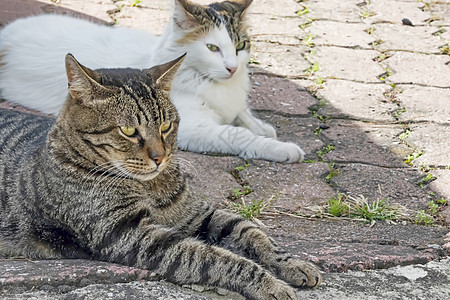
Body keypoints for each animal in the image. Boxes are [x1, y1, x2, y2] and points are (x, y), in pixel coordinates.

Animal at [0, 0, 306, 163]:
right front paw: (282, 148)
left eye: (240, 46)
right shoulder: (194, 127)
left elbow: (244, 113)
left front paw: (262, 127)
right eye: (212, 48)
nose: (232, 67)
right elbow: (238, 135)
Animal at [0, 54, 320, 300]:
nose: (159, 157)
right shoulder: (130, 235)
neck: (150, 187)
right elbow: (214, 257)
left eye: (166, 126)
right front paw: (268, 284)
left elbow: (251, 231)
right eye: (129, 131)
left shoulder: (195, 213)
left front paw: (292, 264)